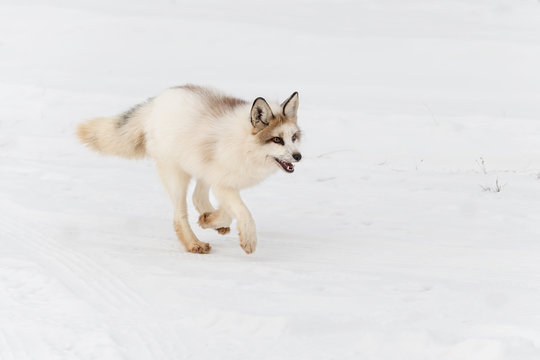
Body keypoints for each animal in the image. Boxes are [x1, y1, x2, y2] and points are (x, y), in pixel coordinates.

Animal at [77, 84, 302, 255]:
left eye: (293, 137)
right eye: (277, 139)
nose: (298, 156)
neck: (245, 145)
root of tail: (157, 101)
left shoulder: (225, 181)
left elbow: (228, 211)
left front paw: (210, 220)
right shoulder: (223, 184)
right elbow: (243, 213)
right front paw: (248, 239)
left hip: (200, 167)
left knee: (197, 197)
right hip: (176, 176)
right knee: (179, 216)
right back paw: (194, 244)